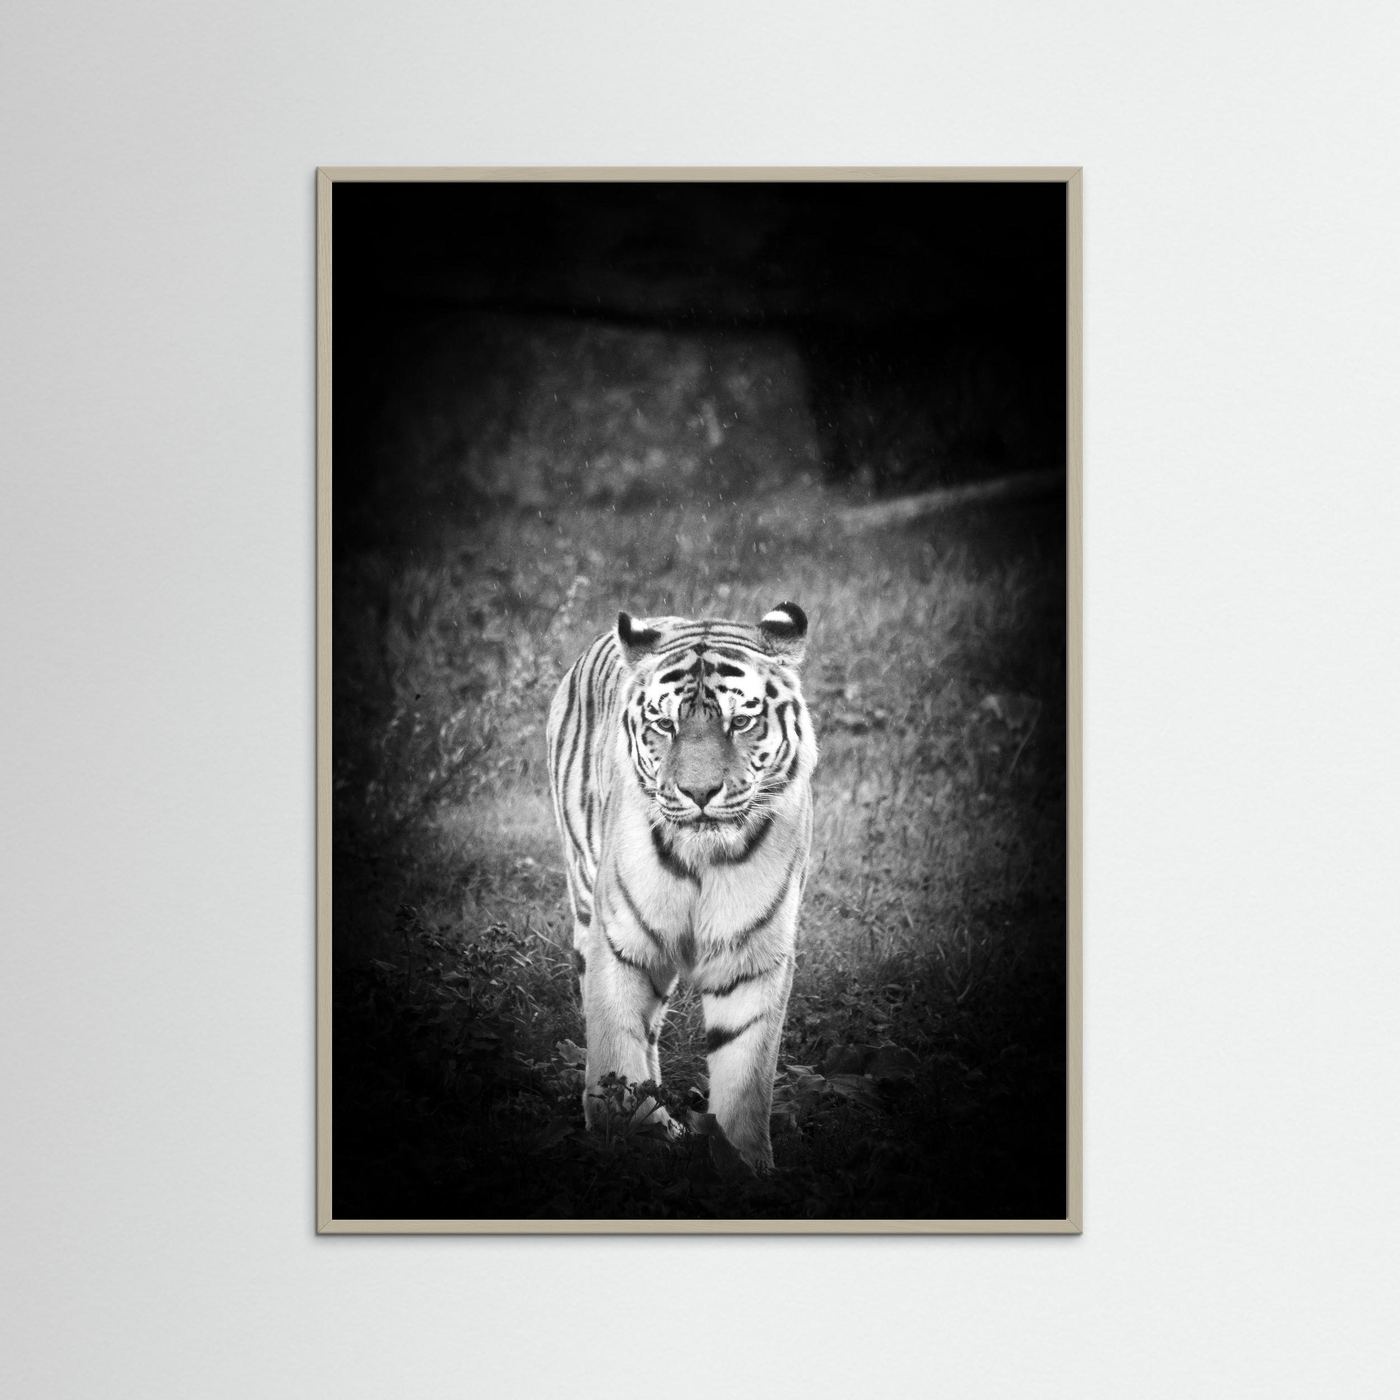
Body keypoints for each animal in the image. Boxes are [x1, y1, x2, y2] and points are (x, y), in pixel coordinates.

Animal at [545, 602, 817, 1172]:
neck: (702, 859)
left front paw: (744, 1166)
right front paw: (630, 1141)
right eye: (665, 725)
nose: (699, 792)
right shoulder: (620, 943)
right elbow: (616, 1048)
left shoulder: (752, 957)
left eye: (741, 721)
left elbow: (746, 1074)